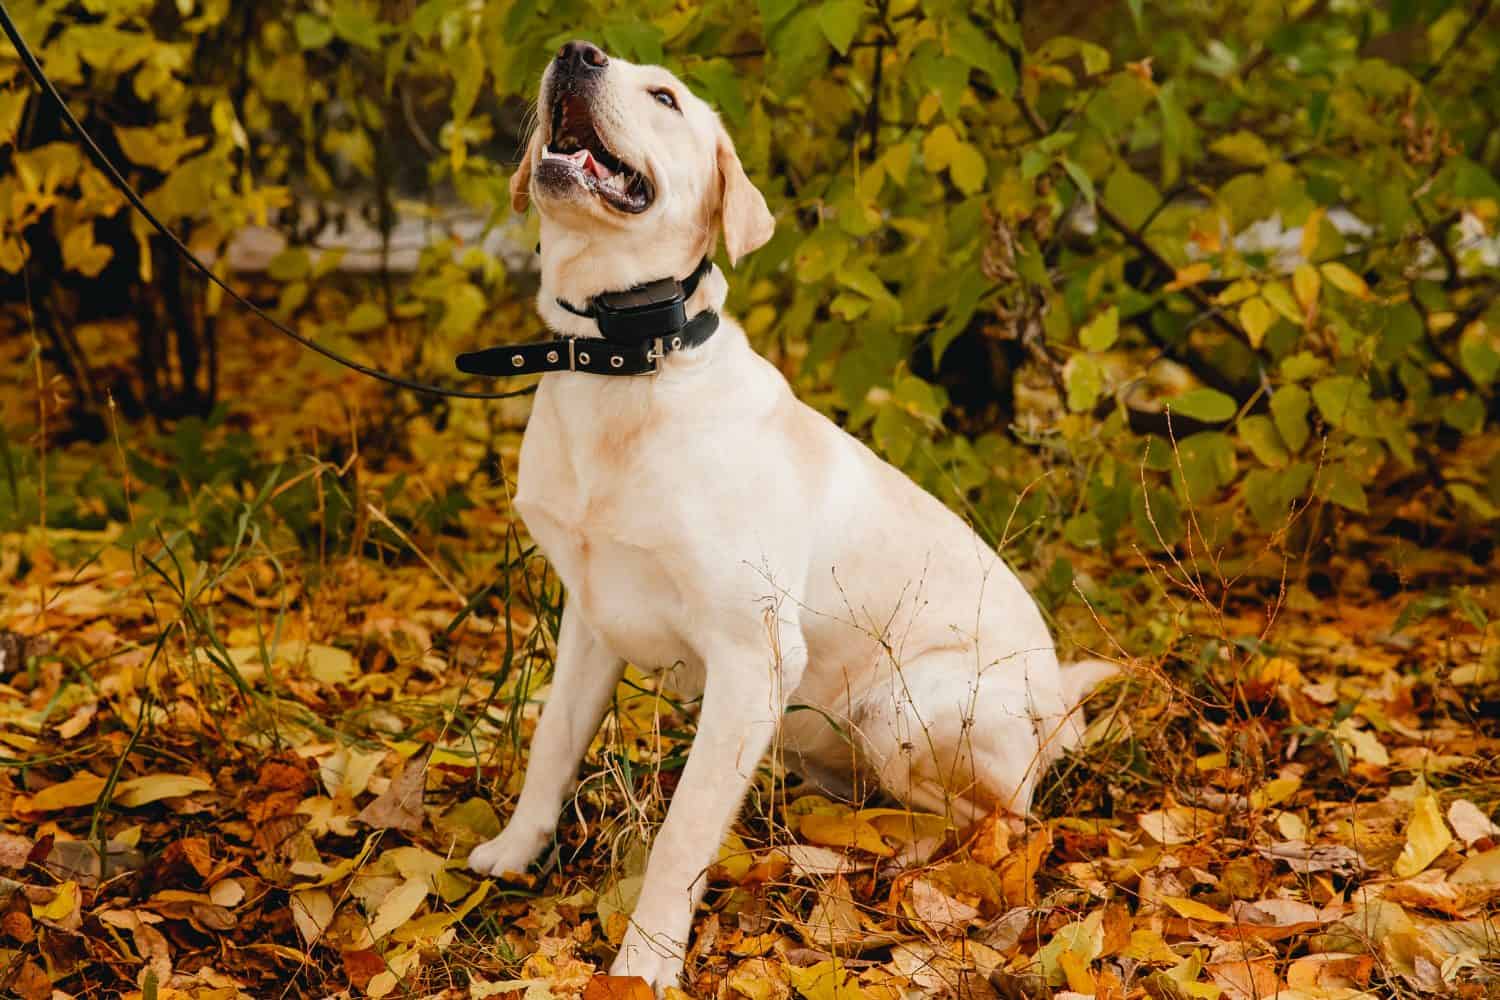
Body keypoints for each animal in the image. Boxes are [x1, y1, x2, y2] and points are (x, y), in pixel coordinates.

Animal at [468, 41, 1116, 995]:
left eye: (664, 97)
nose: (576, 53)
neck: (625, 365)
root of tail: (1058, 707)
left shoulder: (753, 656)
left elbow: (683, 832)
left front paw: (646, 959)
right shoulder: (590, 620)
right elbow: (550, 747)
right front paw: (515, 852)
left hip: (900, 709)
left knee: (999, 821)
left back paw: (882, 857)